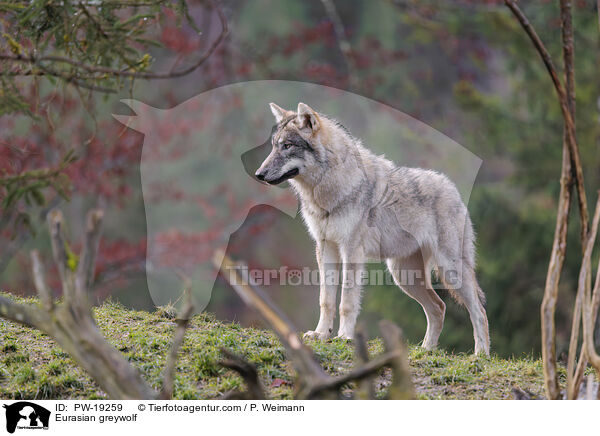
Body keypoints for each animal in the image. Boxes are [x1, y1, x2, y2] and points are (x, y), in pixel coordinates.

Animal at [255, 102, 490, 354]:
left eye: (287, 146)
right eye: (274, 146)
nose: (259, 174)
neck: (328, 191)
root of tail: (453, 189)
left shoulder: (351, 251)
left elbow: (346, 301)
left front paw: (344, 337)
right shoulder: (325, 248)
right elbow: (325, 300)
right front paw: (320, 334)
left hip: (450, 270)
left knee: (478, 311)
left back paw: (480, 355)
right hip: (404, 276)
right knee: (439, 307)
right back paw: (426, 351)